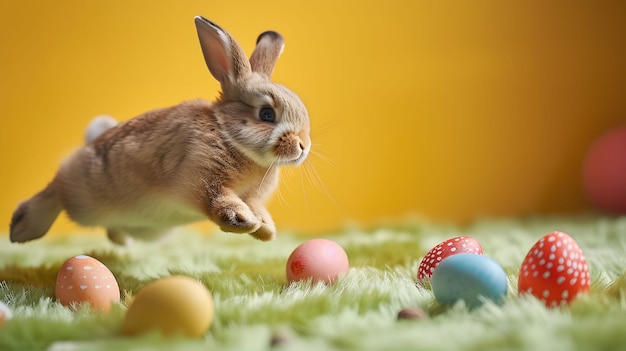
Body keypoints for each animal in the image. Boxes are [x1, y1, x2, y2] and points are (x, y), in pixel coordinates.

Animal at [8, 16, 310, 246]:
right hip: (84, 193)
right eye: (266, 114)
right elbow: (221, 201)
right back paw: (21, 228)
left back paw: (121, 242)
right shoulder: (203, 179)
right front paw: (244, 221)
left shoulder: (252, 196)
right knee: (56, 188)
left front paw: (266, 230)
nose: (303, 146)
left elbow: (257, 207)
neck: (228, 136)